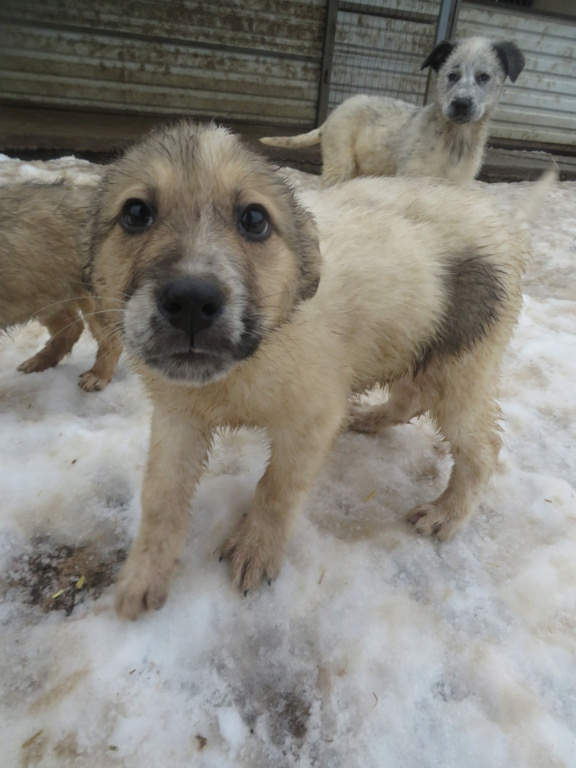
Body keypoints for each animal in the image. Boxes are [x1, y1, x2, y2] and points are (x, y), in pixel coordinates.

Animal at [0, 180, 121, 390]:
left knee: (110, 337)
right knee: (72, 326)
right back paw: (40, 361)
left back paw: (98, 375)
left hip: (91, 293)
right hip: (44, 290)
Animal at [88, 123, 552, 620]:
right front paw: (143, 576)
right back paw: (371, 418)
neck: (249, 359)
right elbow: (161, 498)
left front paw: (256, 550)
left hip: (463, 367)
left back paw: (446, 513)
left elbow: (277, 489)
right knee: (410, 396)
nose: (192, 301)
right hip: (417, 344)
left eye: (254, 220)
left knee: (482, 447)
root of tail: (502, 224)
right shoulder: (178, 417)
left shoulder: (310, 420)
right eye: (136, 213)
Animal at [260, 37, 528, 186]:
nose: (461, 104)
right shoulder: (413, 178)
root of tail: (331, 117)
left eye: (484, 77)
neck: (455, 138)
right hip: (340, 163)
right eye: (452, 75)